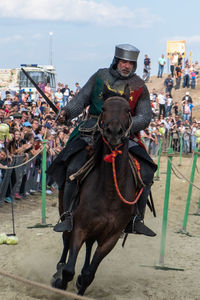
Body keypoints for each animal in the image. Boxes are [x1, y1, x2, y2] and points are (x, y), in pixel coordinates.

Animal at [51, 96, 139, 296]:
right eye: (104, 108)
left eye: (128, 110)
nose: (113, 132)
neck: (110, 193)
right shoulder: (80, 227)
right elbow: (69, 270)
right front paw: (61, 282)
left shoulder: (111, 238)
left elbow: (89, 275)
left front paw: (81, 285)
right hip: (65, 209)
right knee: (66, 237)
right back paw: (58, 268)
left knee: (90, 245)